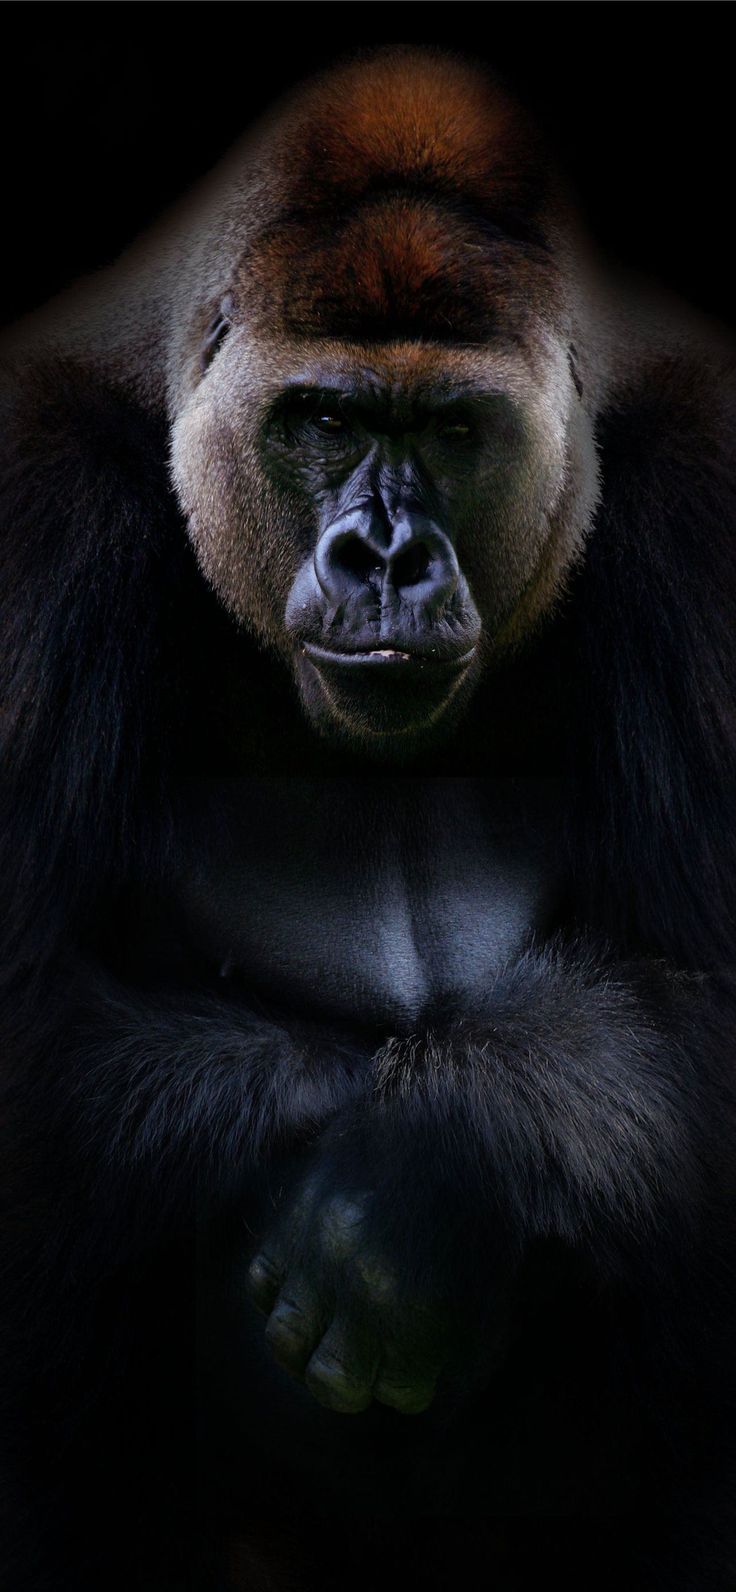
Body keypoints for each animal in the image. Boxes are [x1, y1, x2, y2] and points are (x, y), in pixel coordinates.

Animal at [1, 45, 735, 1592]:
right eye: (326, 419)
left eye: (452, 429)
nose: (385, 557)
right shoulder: (34, 499)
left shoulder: (703, 482)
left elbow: (703, 996)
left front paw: (422, 1181)